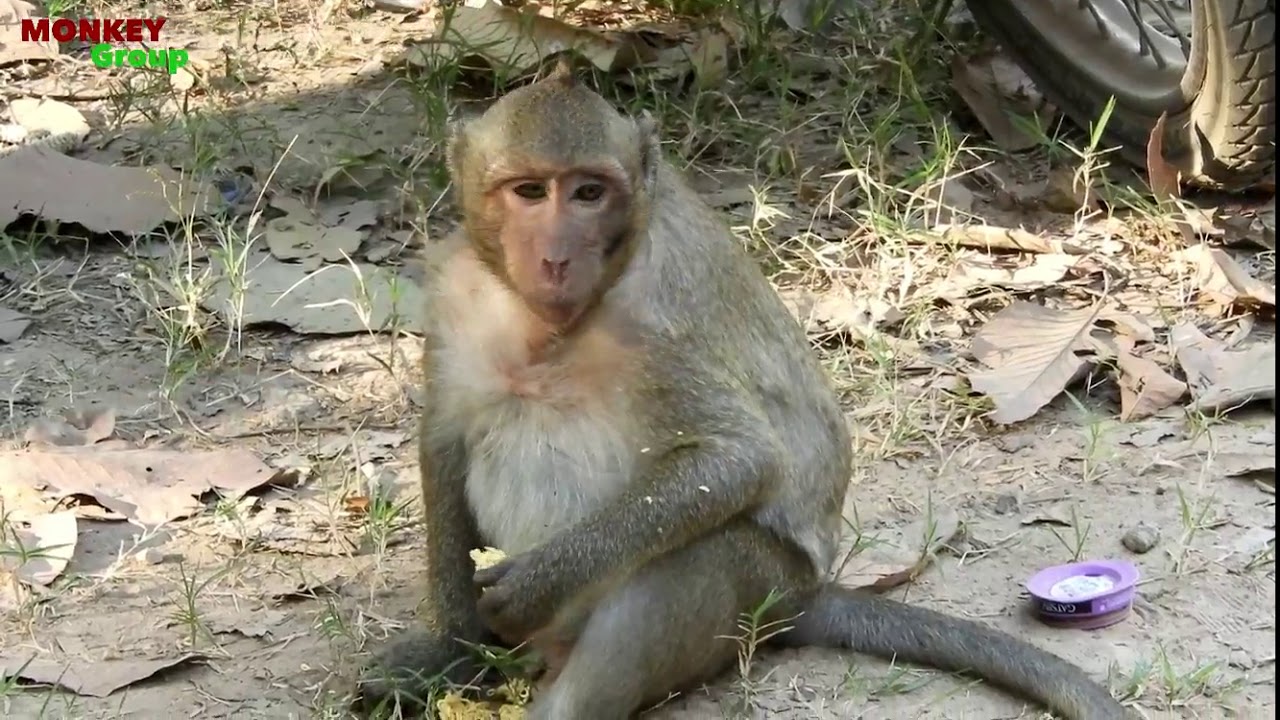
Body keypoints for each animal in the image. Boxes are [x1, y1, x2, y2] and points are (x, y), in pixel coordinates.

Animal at [354, 58, 1134, 720]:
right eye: (528, 191)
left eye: (588, 192)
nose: (555, 256)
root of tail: (806, 598)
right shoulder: (455, 291)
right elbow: (444, 445)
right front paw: (453, 652)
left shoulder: (655, 319)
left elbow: (735, 460)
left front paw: (537, 580)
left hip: (759, 594)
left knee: (697, 554)